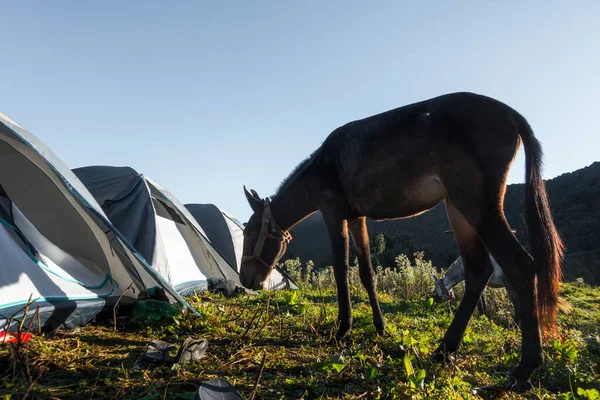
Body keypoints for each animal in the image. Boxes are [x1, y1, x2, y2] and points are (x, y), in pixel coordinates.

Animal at [238, 91, 564, 388]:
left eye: (248, 231)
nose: (245, 279)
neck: (321, 166)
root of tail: (511, 114)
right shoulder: (356, 218)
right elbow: (367, 273)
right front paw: (380, 327)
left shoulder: (333, 213)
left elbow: (342, 270)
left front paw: (343, 328)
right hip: (458, 208)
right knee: (478, 270)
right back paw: (445, 349)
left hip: (475, 204)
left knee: (520, 265)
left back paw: (526, 367)